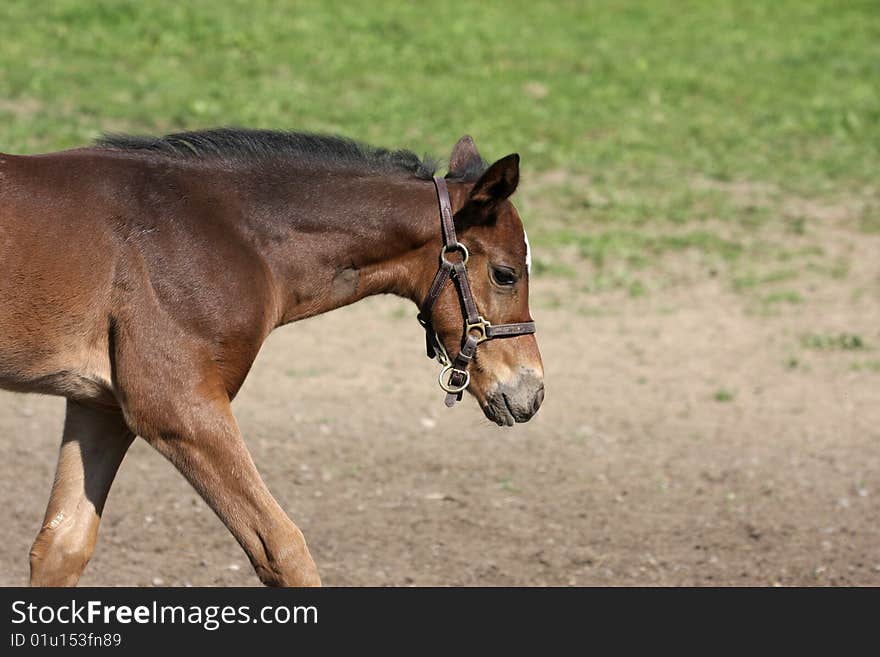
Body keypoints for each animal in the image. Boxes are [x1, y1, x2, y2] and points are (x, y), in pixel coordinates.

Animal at [0, 128, 544, 584]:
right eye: (505, 274)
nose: (531, 392)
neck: (228, 234)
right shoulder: (174, 407)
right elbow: (282, 549)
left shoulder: (102, 406)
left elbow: (62, 547)